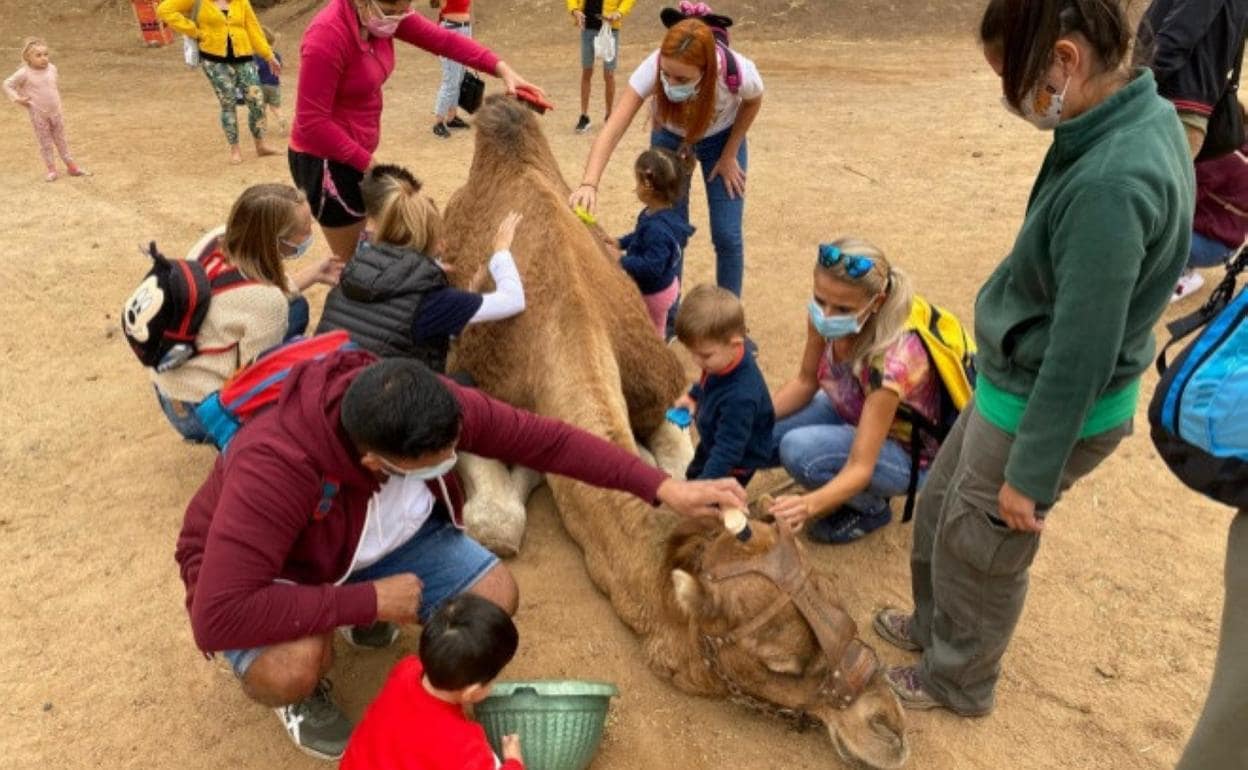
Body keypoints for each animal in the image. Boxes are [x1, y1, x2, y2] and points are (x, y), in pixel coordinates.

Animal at [439, 96, 908, 768]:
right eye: (780, 664)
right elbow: (498, 525)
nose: (889, 726)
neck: (562, 328)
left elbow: (673, 462)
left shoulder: (656, 389)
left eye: (827, 587)